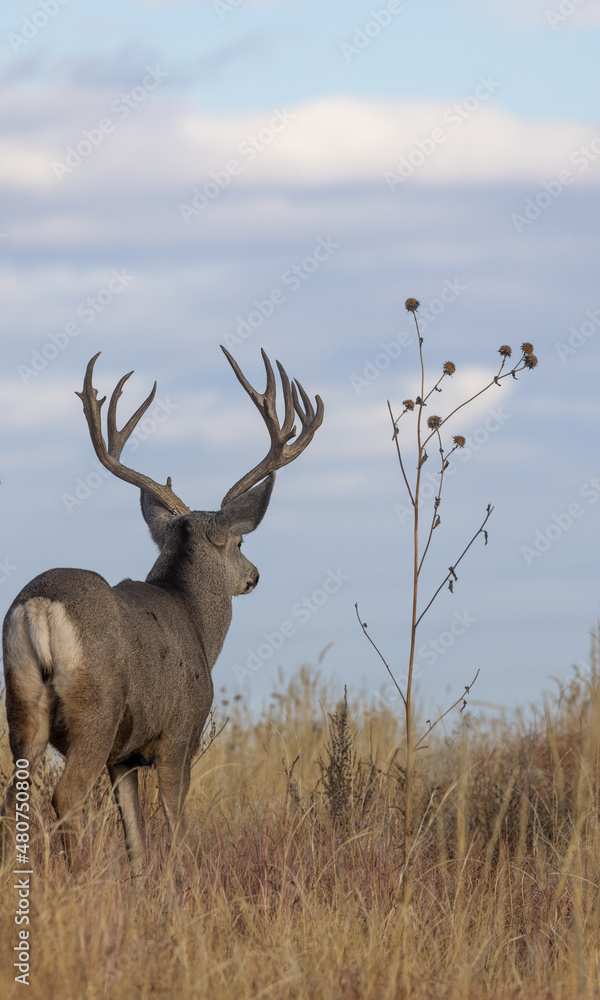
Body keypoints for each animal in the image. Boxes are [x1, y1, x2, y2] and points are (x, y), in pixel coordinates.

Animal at [0, 347, 323, 873]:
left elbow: (136, 842)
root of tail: (41, 605)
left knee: (13, 797)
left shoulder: (124, 757)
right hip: (98, 709)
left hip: (22, 701)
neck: (195, 622)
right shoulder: (179, 736)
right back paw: (81, 878)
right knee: (65, 797)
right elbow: (175, 829)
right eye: (241, 542)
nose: (254, 575)